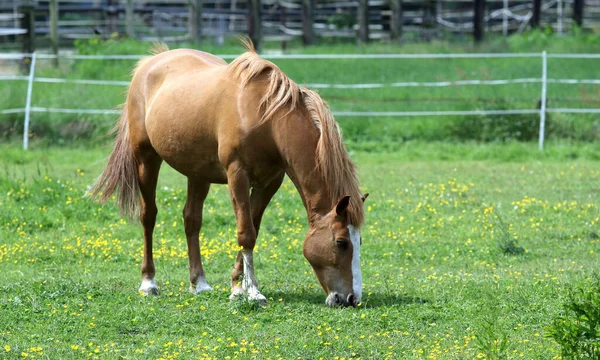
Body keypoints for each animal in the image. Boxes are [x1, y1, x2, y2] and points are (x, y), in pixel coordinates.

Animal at [90, 40, 366, 308]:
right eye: (342, 242)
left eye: (360, 242)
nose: (351, 299)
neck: (266, 118)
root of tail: (151, 61)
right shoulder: (237, 175)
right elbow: (246, 233)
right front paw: (253, 293)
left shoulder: (270, 182)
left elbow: (253, 227)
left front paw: (237, 287)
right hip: (146, 159)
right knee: (148, 216)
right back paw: (149, 284)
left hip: (197, 173)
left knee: (191, 220)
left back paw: (199, 283)